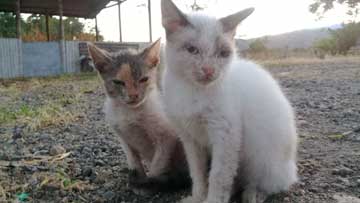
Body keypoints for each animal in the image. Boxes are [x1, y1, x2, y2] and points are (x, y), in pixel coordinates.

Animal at [87, 39, 190, 193]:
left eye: (143, 79)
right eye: (118, 82)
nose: (133, 95)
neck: (129, 112)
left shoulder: (167, 137)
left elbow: (158, 164)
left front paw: (149, 184)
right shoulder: (122, 136)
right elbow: (133, 158)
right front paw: (136, 177)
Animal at [160, 0, 298, 202]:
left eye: (223, 53)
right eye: (192, 50)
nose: (209, 70)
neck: (191, 90)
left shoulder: (225, 136)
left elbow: (218, 176)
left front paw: (212, 200)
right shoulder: (189, 138)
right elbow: (198, 173)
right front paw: (198, 197)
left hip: (262, 158)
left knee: (269, 183)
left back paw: (253, 194)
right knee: (237, 179)